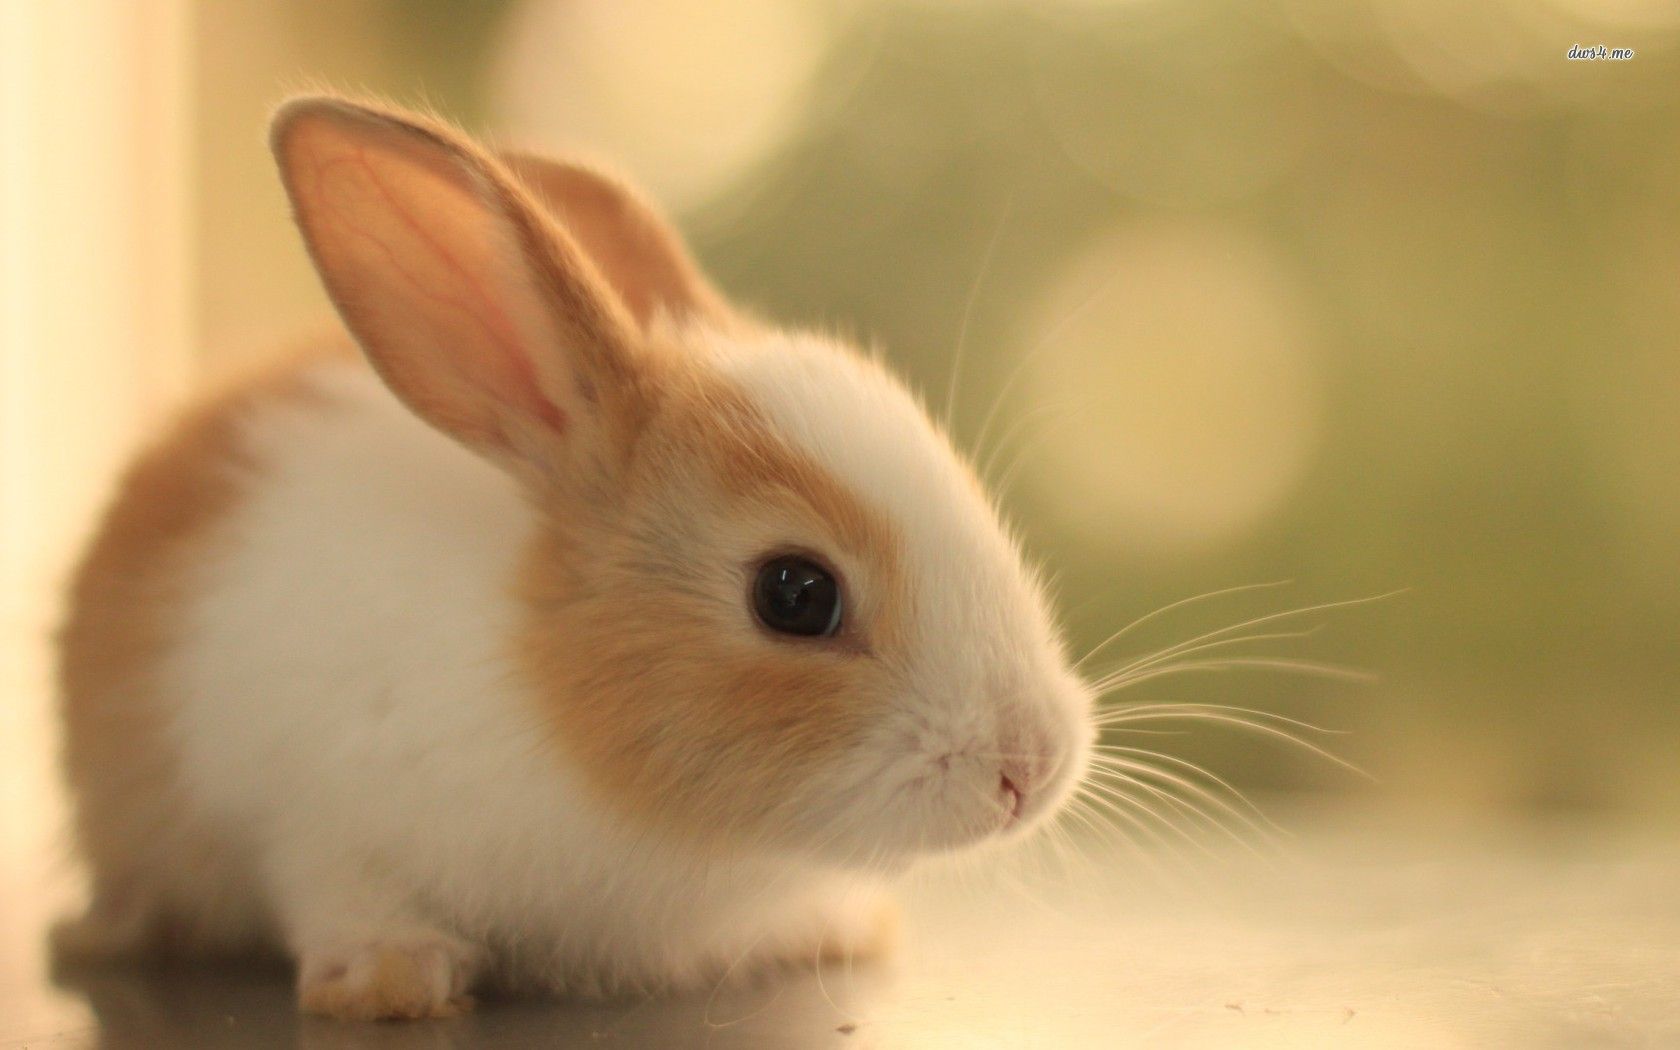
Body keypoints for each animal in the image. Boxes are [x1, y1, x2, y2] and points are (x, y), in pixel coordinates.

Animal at [52, 95, 1096, 1020]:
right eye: (795, 594)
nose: (1029, 767)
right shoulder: (314, 817)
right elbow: (343, 893)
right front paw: (390, 980)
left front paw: (837, 929)